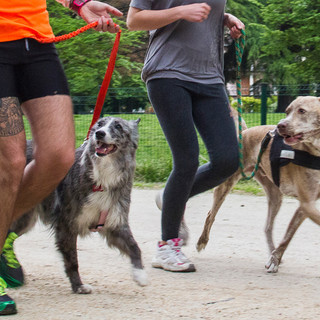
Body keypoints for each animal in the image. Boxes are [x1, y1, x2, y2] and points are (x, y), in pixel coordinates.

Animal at [196, 95, 320, 272]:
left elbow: (287, 236)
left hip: (275, 195)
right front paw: (274, 260)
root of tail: (243, 133)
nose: (280, 125)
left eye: (302, 111)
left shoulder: (305, 207)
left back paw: (273, 253)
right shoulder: (307, 204)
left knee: (268, 227)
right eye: (287, 111)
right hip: (226, 183)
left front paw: (275, 259)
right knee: (210, 215)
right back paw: (202, 240)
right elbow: (288, 236)